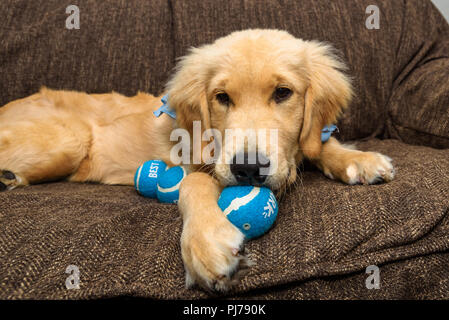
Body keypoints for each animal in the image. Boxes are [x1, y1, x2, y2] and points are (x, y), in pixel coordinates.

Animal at [0, 28, 392, 292]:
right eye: (222, 97)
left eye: (283, 93)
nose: (248, 168)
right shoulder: (194, 164)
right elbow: (195, 182)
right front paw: (206, 238)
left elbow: (319, 144)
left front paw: (359, 159)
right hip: (70, 139)